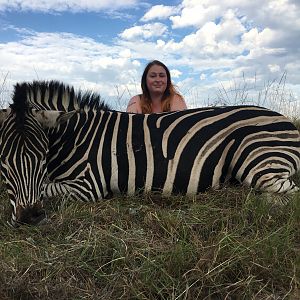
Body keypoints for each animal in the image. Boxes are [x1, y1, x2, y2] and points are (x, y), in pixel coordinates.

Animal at [0, 81, 298, 226]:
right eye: (3, 162)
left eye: (41, 157)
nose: (29, 218)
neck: (74, 137)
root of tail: (285, 120)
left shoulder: (89, 185)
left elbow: (45, 188)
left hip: (256, 161)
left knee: (287, 195)